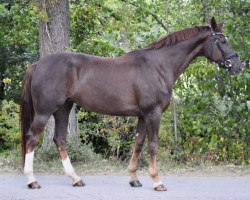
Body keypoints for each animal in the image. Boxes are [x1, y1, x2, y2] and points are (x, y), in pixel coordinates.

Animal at [20, 17, 243, 191]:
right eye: (222, 40)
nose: (238, 66)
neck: (159, 66)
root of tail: (37, 64)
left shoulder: (143, 115)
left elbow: (138, 144)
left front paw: (134, 179)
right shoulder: (153, 113)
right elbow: (153, 146)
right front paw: (157, 181)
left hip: (63, 109)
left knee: (60, 139)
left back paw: (76, 179)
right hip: (44, 112)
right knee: (32, 138)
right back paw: (32, 180)